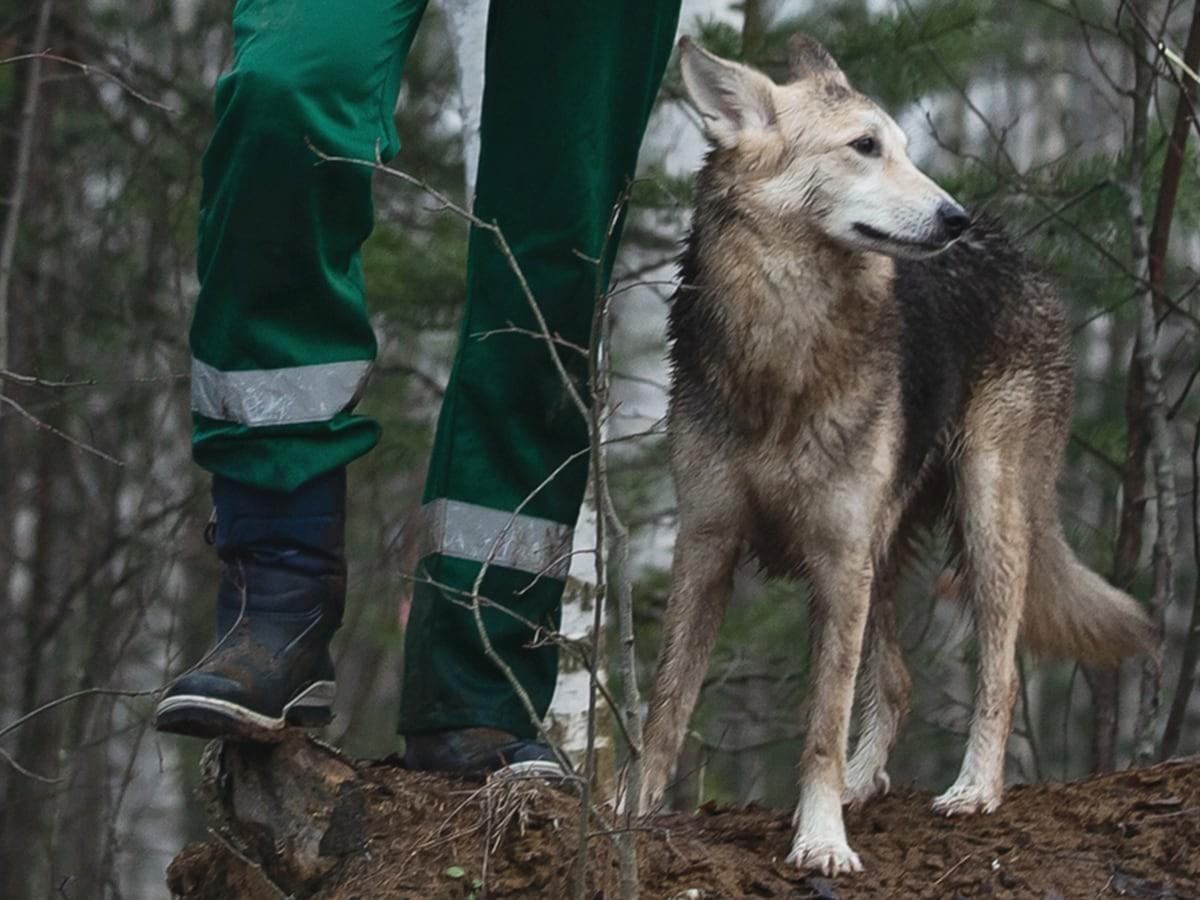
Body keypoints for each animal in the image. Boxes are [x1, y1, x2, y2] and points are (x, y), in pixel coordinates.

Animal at [638, 37, 1152, 883]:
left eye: (906, 148)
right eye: (864, 146)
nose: (953, 217)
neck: (786, 348)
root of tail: (1016, 250)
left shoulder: (838, 557)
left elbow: (821, 724)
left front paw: (820, 841)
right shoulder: (707, 543)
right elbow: (667, 703)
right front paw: (628, 817)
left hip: (983, 516)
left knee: (1002, 670)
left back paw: (972, 791)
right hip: (883, 552)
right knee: (903, 682)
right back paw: (866, 782)